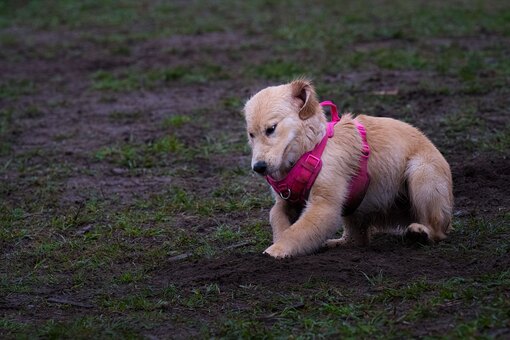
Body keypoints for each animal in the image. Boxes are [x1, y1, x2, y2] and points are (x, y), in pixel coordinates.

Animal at [244, 79, 454, 258]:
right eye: (251, 134)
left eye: (271, 128)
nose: (259, 167)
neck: (309, 149)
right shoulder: (285, 201)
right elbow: (276, 218)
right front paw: (278, 241)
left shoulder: (325, 206)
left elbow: (296, 232)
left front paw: (276, 250)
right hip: (355, 209)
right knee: (357, 240)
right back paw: (337, 243)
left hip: (421, 173)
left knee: (438, 231)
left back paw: (420, 233)